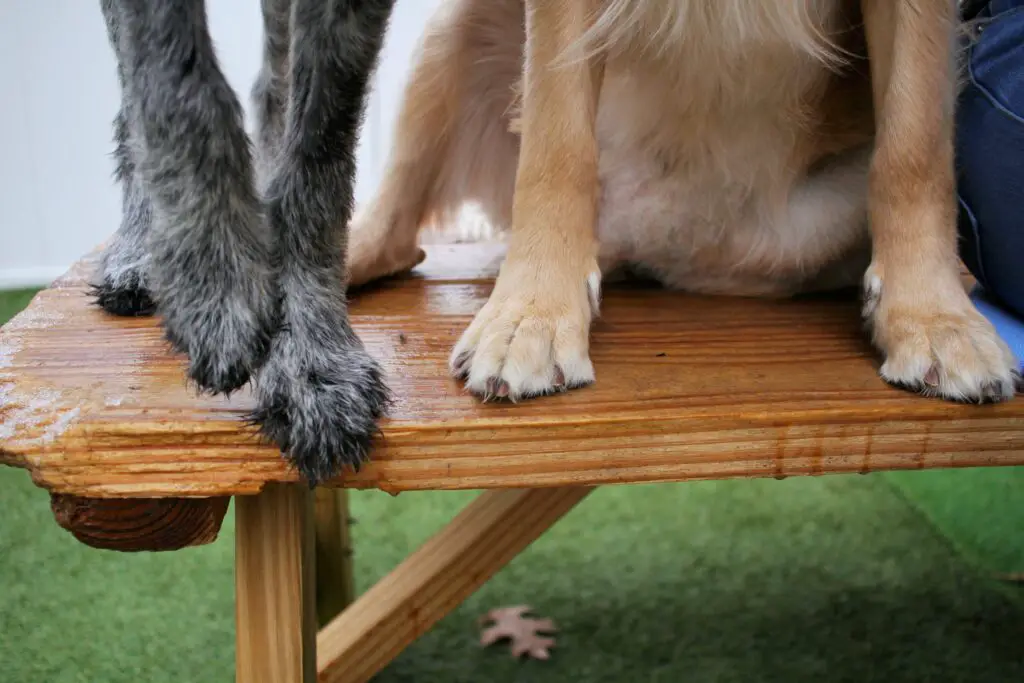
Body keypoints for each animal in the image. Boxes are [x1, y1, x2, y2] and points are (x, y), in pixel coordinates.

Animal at [94, 0, 395, 483]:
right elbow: (179, 92)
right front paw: (217, 285)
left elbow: (317, 149)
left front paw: (310, 359)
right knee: (132, 103)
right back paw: (137, 249)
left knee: (272, 88)